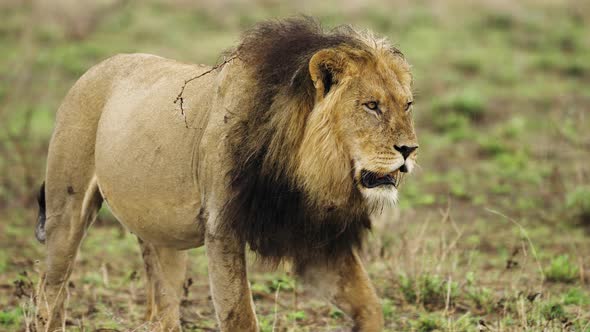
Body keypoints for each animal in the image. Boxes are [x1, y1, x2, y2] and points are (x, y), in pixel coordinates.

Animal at [35, 18, 420, 332]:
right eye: (371, 106)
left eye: (407, 105)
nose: (410, 150)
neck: (306, 170)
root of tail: (97, 66)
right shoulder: (222, 229)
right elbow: (240, 317)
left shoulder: (317, 242)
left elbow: (370, 306)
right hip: (66, 211)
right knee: (50, 291)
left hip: (161, 236)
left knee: (163, 310)